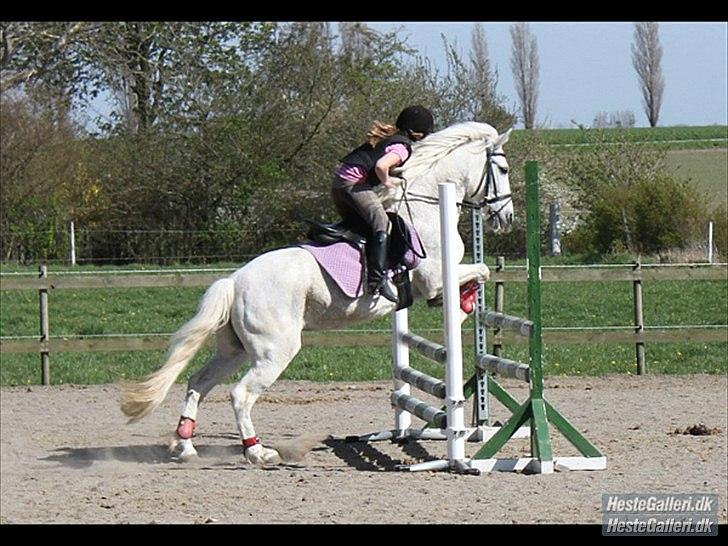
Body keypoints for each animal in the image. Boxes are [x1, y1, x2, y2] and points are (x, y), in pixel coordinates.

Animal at [119, 122, 512, 464]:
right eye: (505, 169)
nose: (506, 218)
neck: (428, 202)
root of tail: (234, 282)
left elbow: (477, 274)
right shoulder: (434, 277)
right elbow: (479, 271)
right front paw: (461, 306)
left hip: (235, 349)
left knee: (198, 383)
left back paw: (185, 446)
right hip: (274, 350)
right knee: (241, 394)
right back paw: (257, 452)